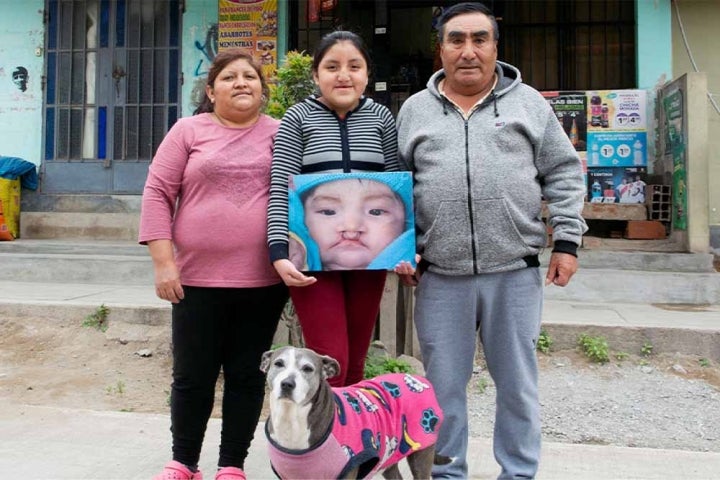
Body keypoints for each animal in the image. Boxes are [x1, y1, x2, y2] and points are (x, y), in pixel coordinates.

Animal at [258, 346, 450, 478]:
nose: (287, 384)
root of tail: (418, 379)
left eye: (307, 368)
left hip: (422, 453)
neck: (291, 419)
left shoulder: (348, 470)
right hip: (389, 456)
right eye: (278, 364)